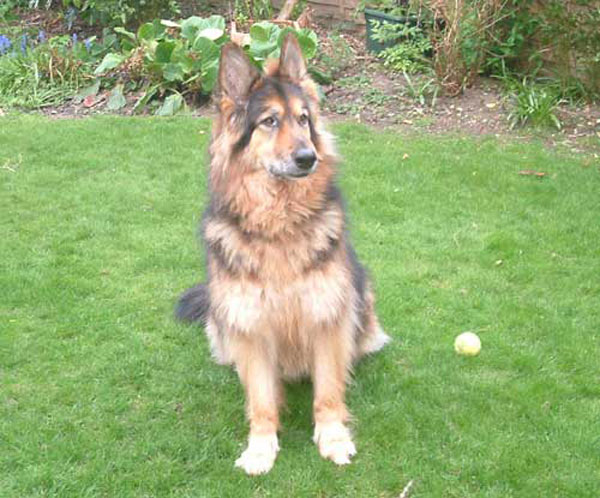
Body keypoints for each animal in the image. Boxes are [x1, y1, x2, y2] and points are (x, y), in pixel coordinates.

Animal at [175, 35, 390, 474]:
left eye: (304, 119)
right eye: (269, 121)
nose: (308, 158)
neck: (279, 224)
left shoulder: (327, 318)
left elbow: (328, 393)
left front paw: (333, 437)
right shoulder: (250, 326)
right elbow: (260, 400)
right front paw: (261, 447)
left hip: (361, 293)